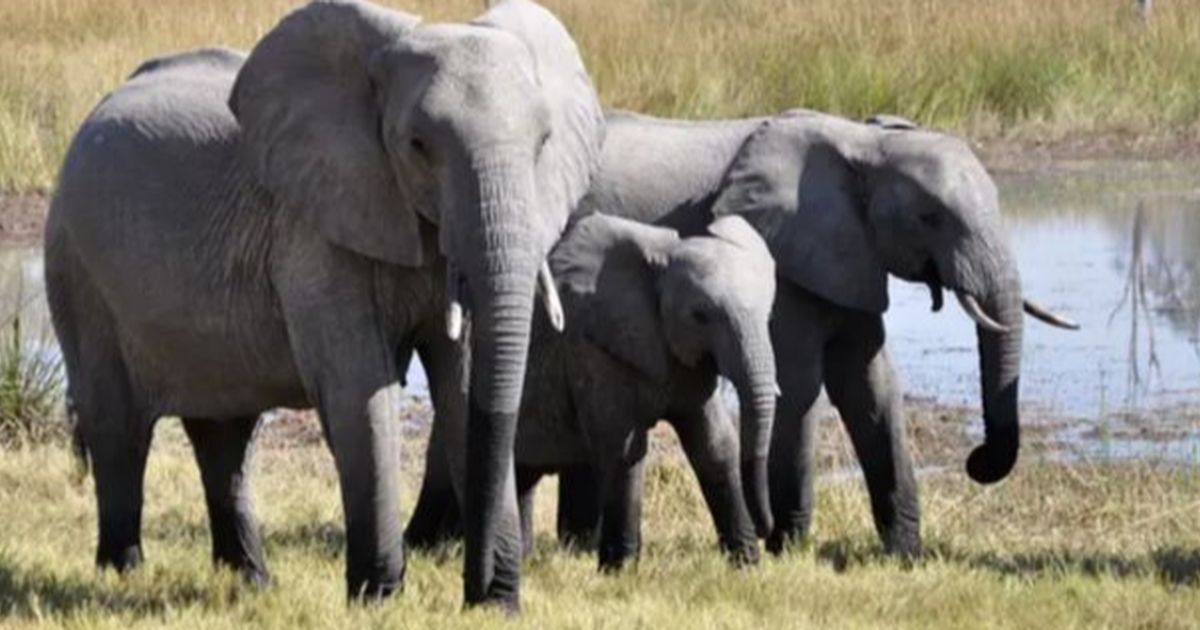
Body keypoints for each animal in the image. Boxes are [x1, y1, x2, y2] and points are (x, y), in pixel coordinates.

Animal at [43, 0, 604, 609]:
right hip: (78, 267)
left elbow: (462, 384)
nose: (478, 590)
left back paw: (251, 581)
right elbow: (359, 389)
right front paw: (378, 599)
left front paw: (495, 604)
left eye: (544, 142)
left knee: (226, 436)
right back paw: (122, 573)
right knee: (118, 426)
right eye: (418, 146)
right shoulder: (314, 230)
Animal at [412, 212, 777, 568]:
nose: (767, 528)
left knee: (520, 478)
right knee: (445, 476)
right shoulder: (591, 350)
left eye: (768, 311)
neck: (661, 258)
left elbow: (715, 444)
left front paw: (746, 564)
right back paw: (426, 552)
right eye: (699, 316)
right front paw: (622, 570)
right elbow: (623, 450)